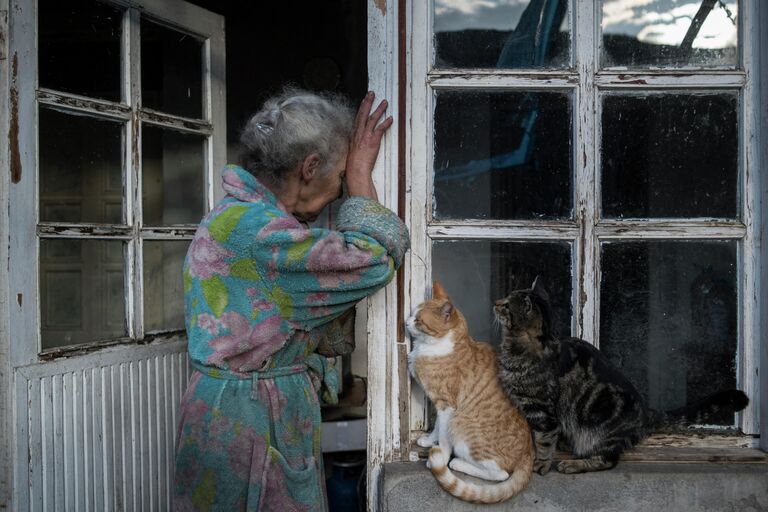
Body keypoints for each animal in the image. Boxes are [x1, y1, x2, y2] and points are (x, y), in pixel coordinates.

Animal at [408, 284, 536, 504]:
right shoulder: (440, 405)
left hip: (460, 423)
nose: (405, 322)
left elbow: (444, 437)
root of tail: (528, 454)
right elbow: (437, 428)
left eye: (418, 320)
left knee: (500, 474)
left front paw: (440, 457)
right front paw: (429, 440)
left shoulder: (447, 406)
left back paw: (457, 463)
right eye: (411, 314)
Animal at [496, 278, 748, 474]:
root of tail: (647, 412)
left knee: (608, 460)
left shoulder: (542, 411)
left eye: (507, 305)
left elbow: (543, 440)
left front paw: (540, 464)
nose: (496, 303)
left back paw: (574, 465)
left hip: (602, 432)